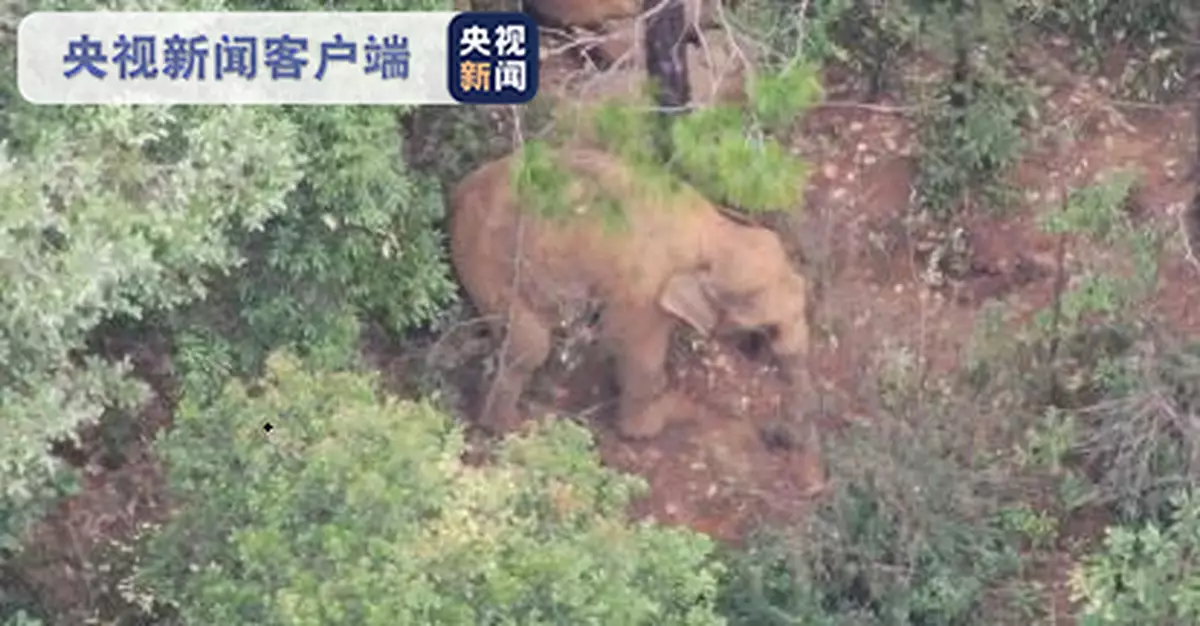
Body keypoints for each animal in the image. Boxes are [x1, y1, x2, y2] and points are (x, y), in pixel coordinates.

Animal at [448, 147, 817, 443]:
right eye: (763, 324)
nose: (779, 436)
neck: (712, 232)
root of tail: (459, 192)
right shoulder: (644, 289)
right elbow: (635, 353)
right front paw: (654, 425)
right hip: (487, 259)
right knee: (529, 347)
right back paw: (512, 427)